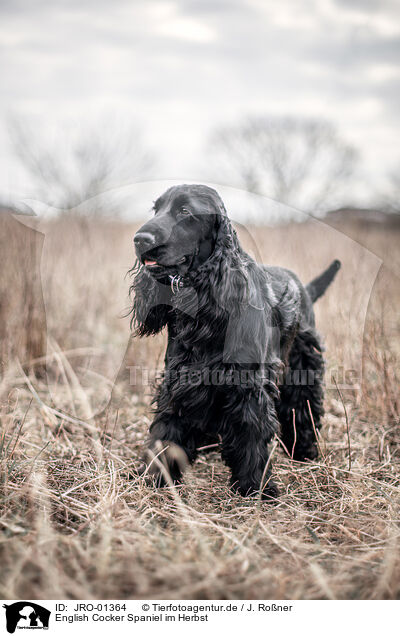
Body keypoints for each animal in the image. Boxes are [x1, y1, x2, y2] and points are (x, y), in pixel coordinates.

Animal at [131, 185, 340, 502]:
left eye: (184, 211)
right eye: (156, 209)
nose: (140, 240)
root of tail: (303, 286)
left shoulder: (248, 386)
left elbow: (251, 434)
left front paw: (256, 487)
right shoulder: (178, 381)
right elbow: (167, 430)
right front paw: (156, 476)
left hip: (304, 366)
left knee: (303, 409)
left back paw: (304, 452)